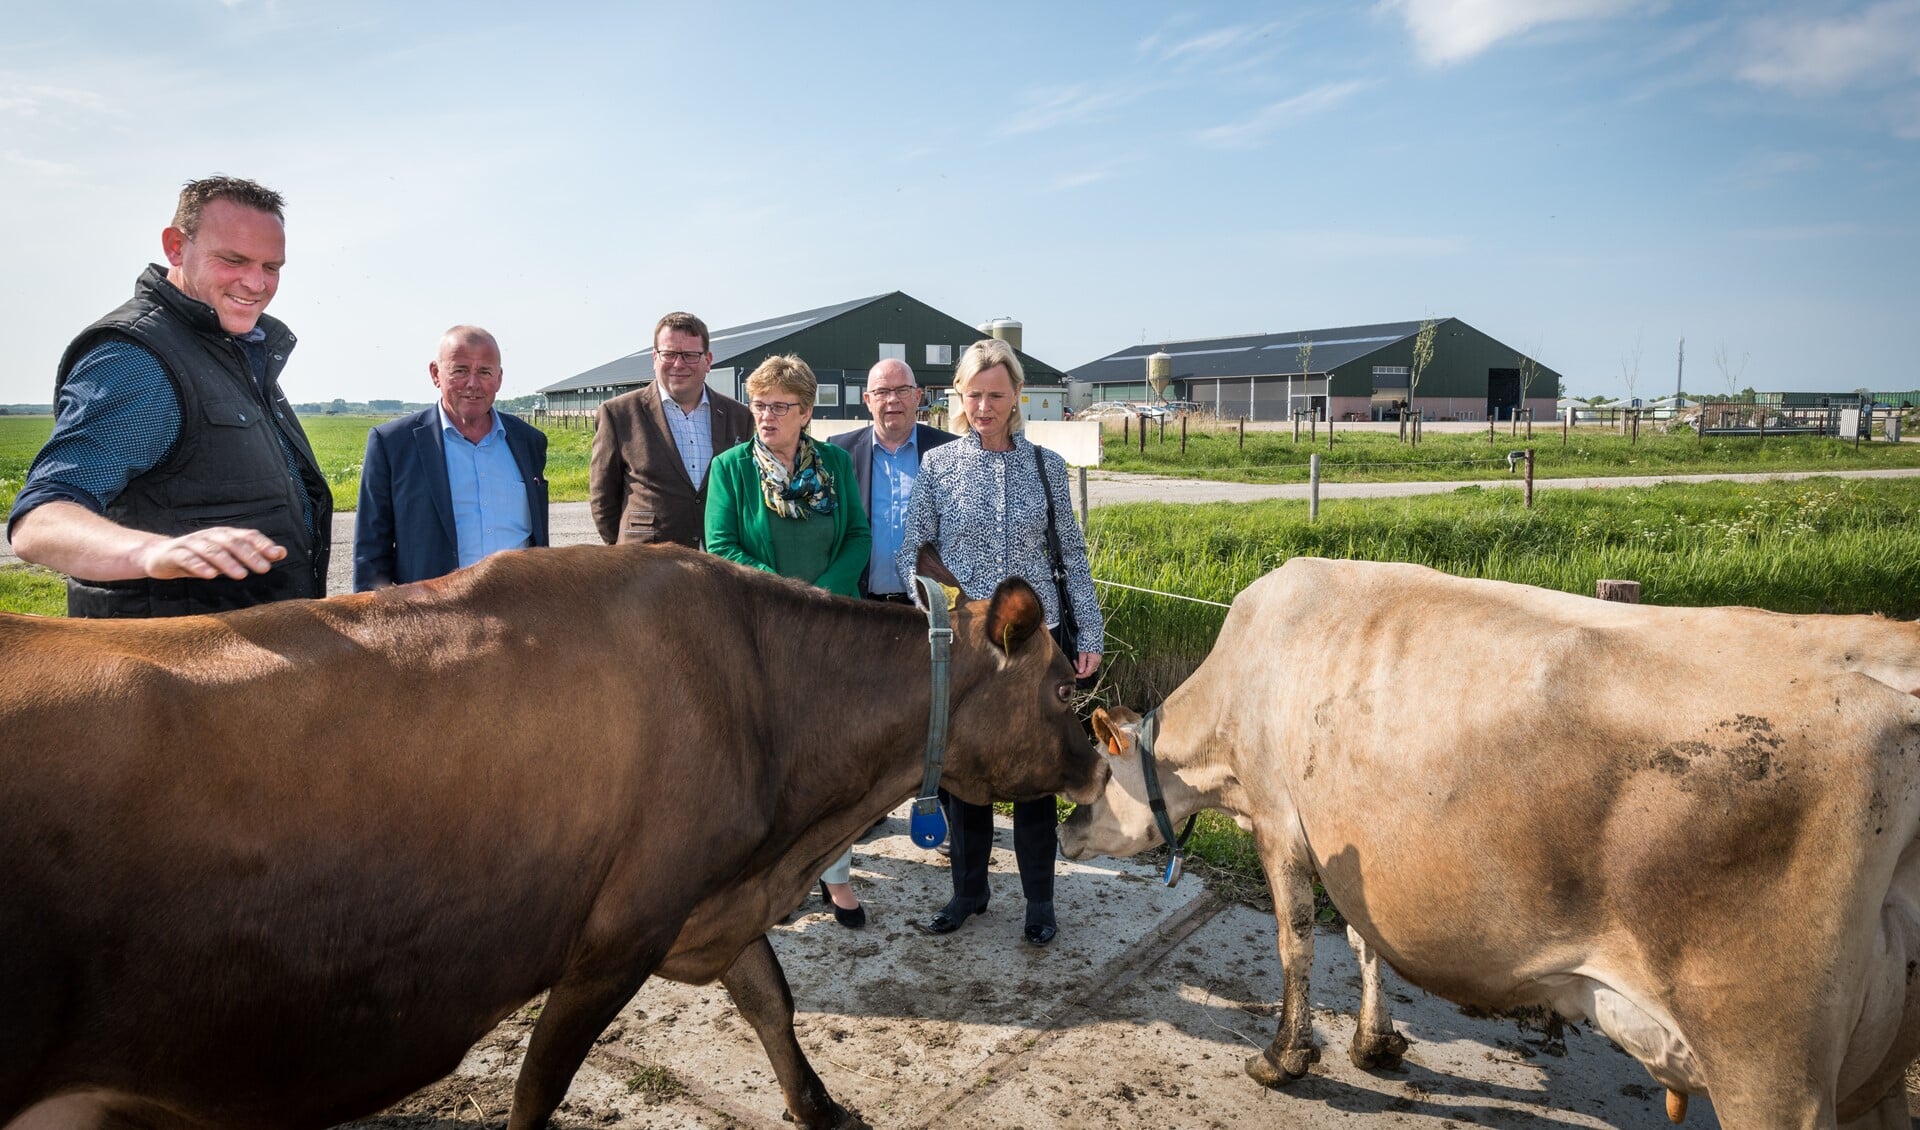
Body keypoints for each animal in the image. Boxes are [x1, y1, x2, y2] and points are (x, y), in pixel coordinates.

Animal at [3, 541, 1113, 1120]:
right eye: (1066, 685)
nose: (1105, 762)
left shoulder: (708, 897)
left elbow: (773, 1000)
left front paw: (821, 1105)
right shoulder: (615, 936)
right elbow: (539, 1086)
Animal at [1059, 556, 1920, 1128]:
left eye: (1094, 779)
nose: (1064, 830)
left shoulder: (1280, 819)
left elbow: (1298, 941)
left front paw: (1285, 1058)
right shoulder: (1357, 838)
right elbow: (1364, 939)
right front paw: (1377, 1042)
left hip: (1766, 1057)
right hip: (1873, 1064)